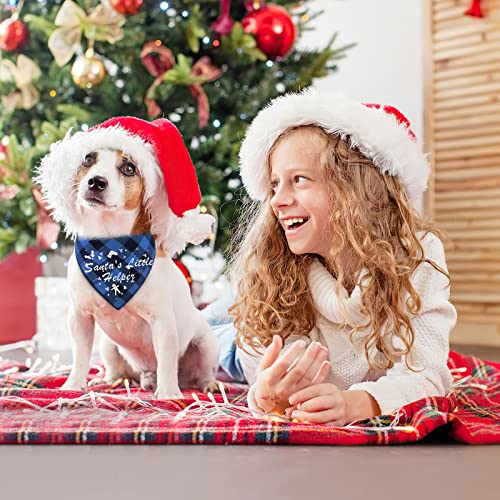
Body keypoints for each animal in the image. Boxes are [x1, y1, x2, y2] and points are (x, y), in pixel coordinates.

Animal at [36, 116, 220, 398]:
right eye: (87, 159)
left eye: (129, 168)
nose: (96, 182)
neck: (110, 247)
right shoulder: (80, 317)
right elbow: (80, 356)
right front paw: (73, 385)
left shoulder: (162, 322)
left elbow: (166, 361)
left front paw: (169, 394)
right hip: (108, 345)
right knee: (118, 368)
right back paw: (115, 380)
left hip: (206, 344)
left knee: (202, 372)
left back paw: (206, 384)